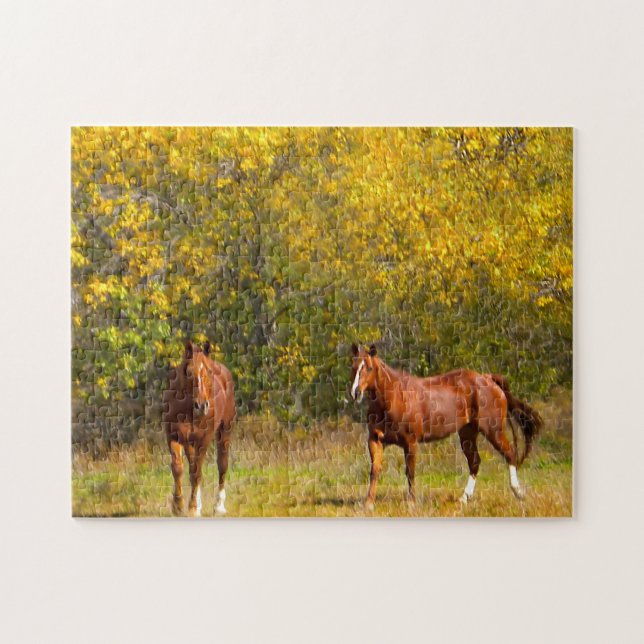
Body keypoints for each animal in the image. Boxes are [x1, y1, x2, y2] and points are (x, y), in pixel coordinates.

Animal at [162, 341, 236, 516]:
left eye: (209, 371)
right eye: (189, 372)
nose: (202, 406)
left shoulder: (204, 439)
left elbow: (196, 473)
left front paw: (192, 508)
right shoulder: (173, 436)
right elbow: (178, 468)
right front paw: (178, 506)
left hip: (225, 430)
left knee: (222, 464)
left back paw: (219, 505)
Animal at [349, 344, 542, 510]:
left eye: (369, 368)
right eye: (353, 366)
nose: (355, 393)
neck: (394, 398)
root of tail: (488, 378)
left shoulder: (410, 442)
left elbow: (410, 472)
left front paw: (411, 503)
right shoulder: (375, 440)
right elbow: (374, 470)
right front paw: (368, 503)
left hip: (493, 430)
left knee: (510, 454)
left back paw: (518, 492)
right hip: (467, 434)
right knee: (475, 462)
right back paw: (464, 498)